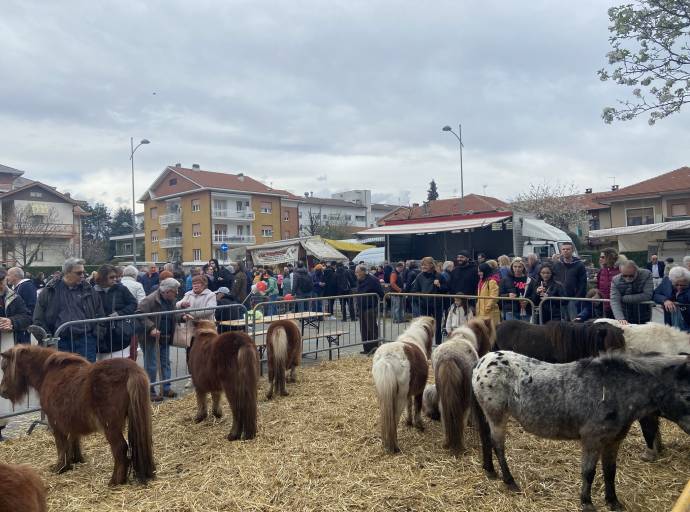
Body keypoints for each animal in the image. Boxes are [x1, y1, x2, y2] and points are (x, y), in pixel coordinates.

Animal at [0, 344, 153, 484]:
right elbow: (73, 440)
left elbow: (61, 445)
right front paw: (75, 460)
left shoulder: (55, 422)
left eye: (4, 367)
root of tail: (130, 370)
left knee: (120, 449)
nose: (2, 392)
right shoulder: (70, 420)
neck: (47, 373)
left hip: (111, 427)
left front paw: (60, 467)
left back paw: (115, 481)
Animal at [370, 316, 430, 452]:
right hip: (399, 398)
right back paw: (394, 447)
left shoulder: (408, 392)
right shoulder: (419, 390)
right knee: (394, 419)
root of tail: (387, 358)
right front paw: (419, 425)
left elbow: (409, 405)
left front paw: (409, 422)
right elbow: (417, 406)